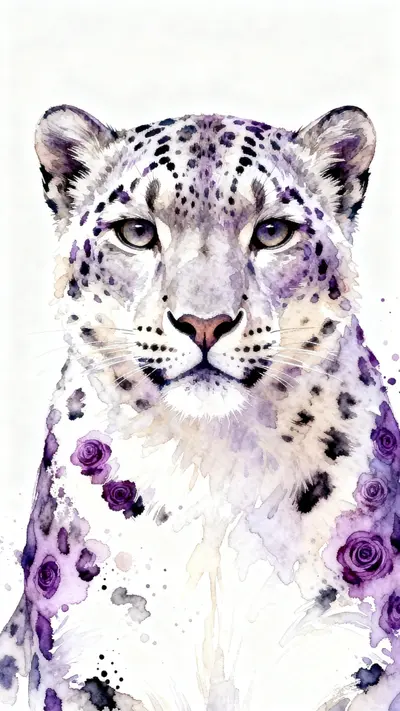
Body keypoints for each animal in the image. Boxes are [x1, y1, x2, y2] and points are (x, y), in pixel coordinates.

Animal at [0, 103, 400, 711]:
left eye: (272, 231)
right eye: (138, 231)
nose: (205, 322)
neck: (212, 465)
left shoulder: (358, 659)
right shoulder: (85, 665)